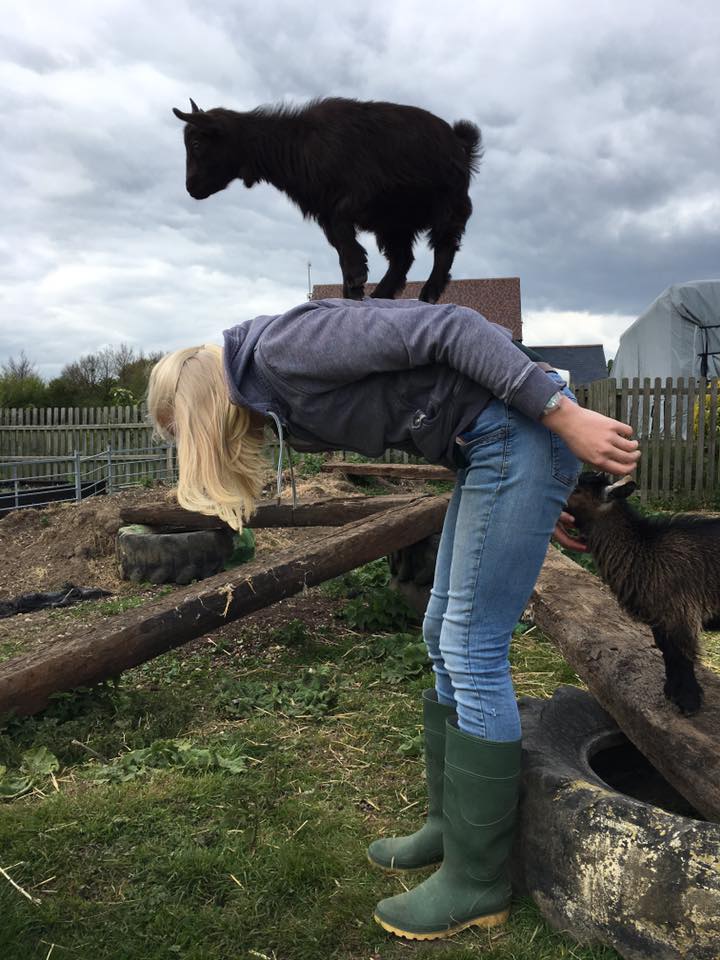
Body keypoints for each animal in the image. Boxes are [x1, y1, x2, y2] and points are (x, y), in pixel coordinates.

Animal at [172, 97, 481, 303]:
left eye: (197, 144)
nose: (190, 188)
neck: (298, 144)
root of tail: (460, 143)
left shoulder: (356, 197)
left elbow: (346, 240)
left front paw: (357, 277)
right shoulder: (326, 215)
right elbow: (342, 249)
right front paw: (352, 289)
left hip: (445, 206)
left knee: (443, 249)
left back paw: (427, 293)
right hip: (395, 222)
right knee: (402, 258)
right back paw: (380, 295)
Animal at [566, 472, 720, 715]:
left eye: (578, 490)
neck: (645, 551)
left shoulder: (680, 614)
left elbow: (682, 656)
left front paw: (688, 702)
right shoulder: (661, 619)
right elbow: (668, 652)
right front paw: (670, 691)